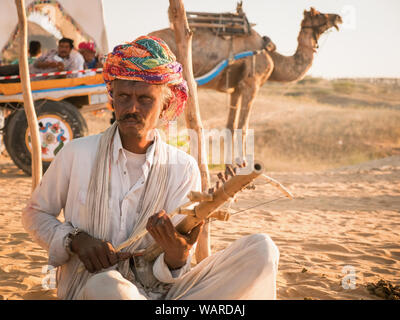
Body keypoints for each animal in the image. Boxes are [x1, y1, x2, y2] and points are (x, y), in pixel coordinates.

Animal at [148, 5, 342, 162]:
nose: (338, 17)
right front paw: (242, 167)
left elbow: (231, 127)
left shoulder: (236, 88)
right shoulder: (252, 84)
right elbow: (244, 126)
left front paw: (229, 170)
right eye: (320, 14)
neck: (271, 56)